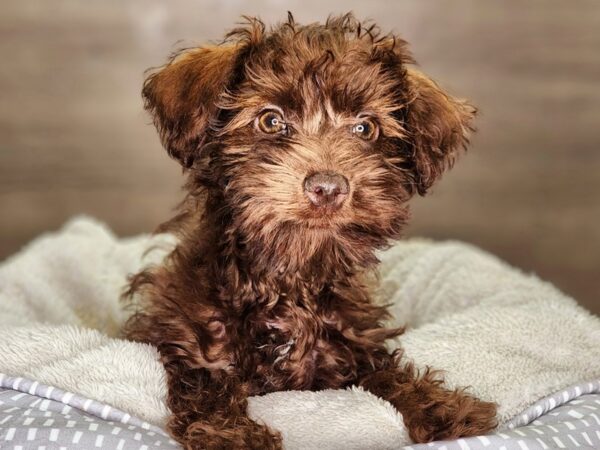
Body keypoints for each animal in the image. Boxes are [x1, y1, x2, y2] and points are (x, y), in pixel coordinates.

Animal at [125, 14, 496, 450]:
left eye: (365, 128)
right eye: (271, 120)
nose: (328, 187)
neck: (291, 278)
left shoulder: (352, 347)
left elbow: (386, 371)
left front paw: (440, 407)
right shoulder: (189, 347)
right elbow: (206, 387)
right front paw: (234, 434)